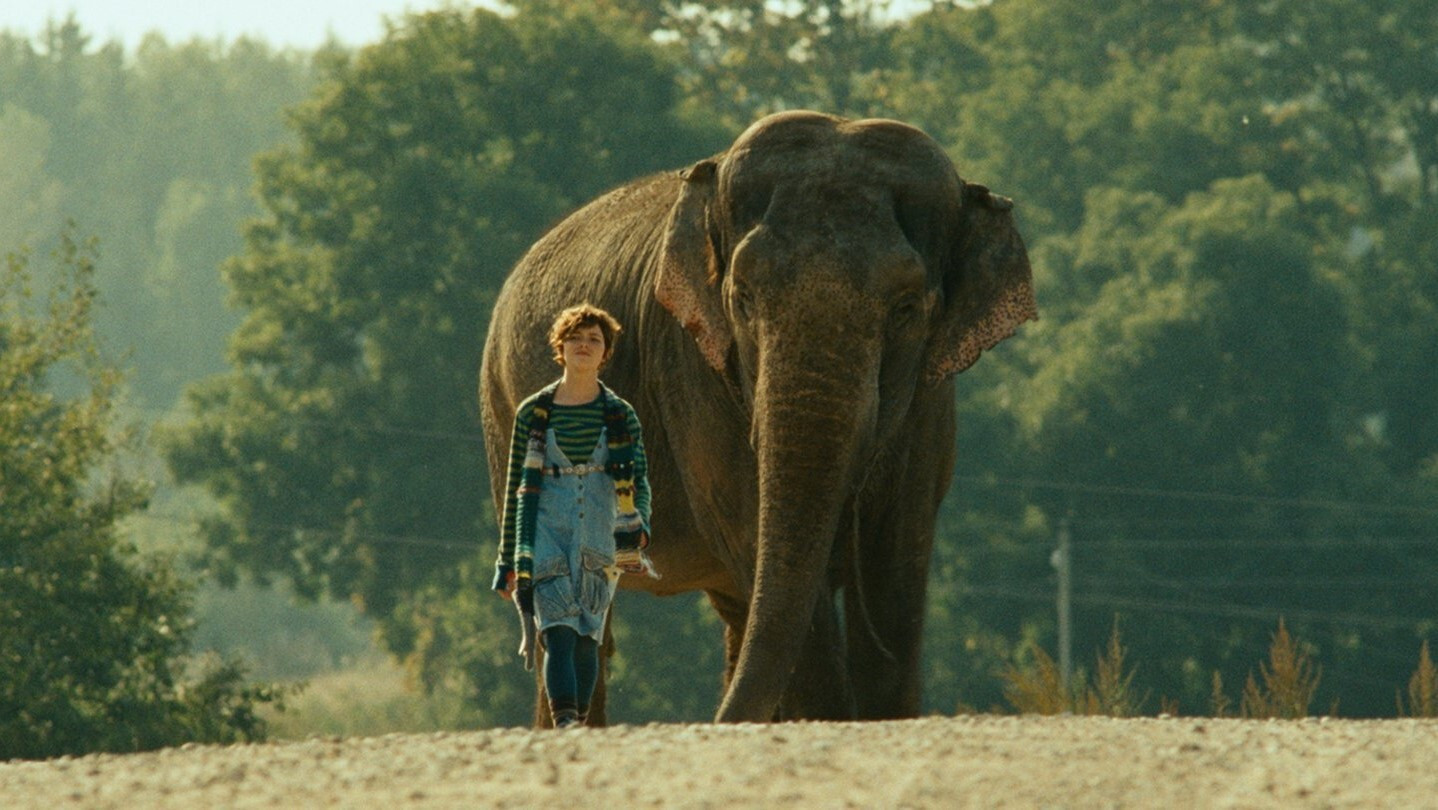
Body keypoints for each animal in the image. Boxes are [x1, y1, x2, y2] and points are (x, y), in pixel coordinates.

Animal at [479, 110, 1036, 725]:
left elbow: (896, 561)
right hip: (502, 413)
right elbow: (756, 535)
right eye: (742, 298)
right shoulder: (692, 371)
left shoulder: (930, 402)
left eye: (908, 308)